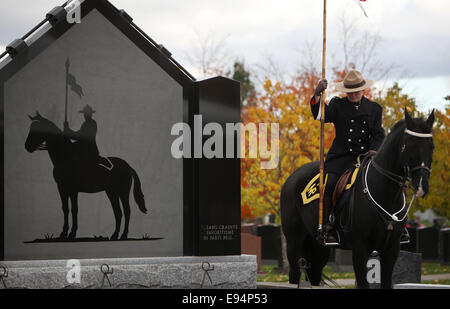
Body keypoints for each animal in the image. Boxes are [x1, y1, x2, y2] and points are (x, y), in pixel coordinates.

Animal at [282, 107, 436, 286]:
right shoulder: (360, 248)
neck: (385, 193)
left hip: (318, 248)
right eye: (409, 145)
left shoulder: (391, 249)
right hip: (294, 243)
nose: (421, 186)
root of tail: (291, 178)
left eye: (431, 146)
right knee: (294, 273)